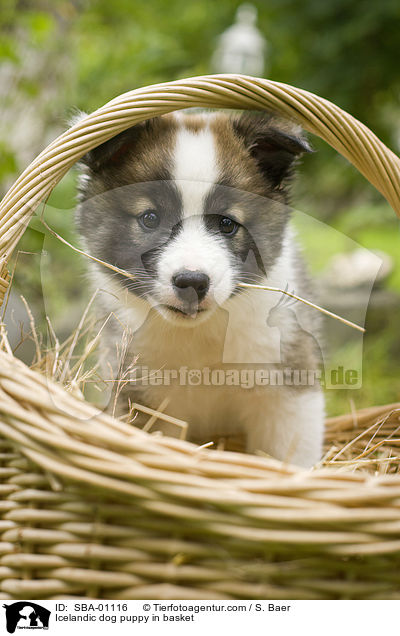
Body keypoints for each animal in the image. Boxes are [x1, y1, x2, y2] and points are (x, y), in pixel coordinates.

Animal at [75, 110, 324, 468]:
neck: (200, 335)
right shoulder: (140, 394)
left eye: (227, 224)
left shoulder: (287, 388)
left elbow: (290, 453)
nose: (192, 282)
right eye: (150, 218)